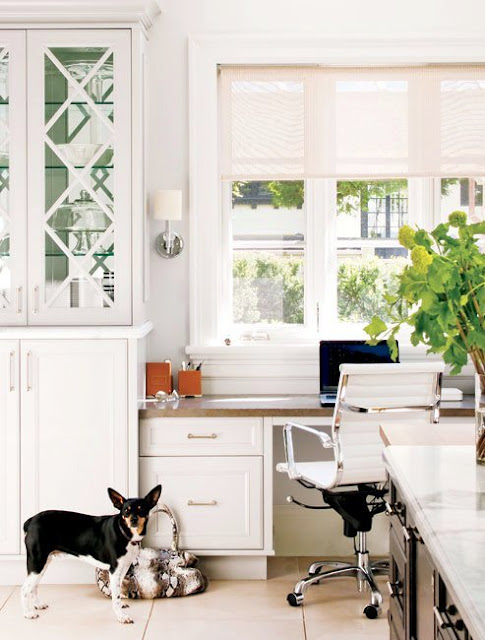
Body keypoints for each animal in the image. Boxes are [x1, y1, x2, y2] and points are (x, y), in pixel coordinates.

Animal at [21, 488, 161, 624]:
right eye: (126, 510)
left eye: (141, 509)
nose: (133, 520)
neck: (124, 533)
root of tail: (30, 521)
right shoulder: (114, 570)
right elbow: (116, 596)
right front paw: (121, 616)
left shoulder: (124, 567)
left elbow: (117, 590)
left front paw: (121, 605)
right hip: (37, 563)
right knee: (24, 589)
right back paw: (27, 613)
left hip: (43, 564)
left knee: (33, 587)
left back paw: (38, 605)